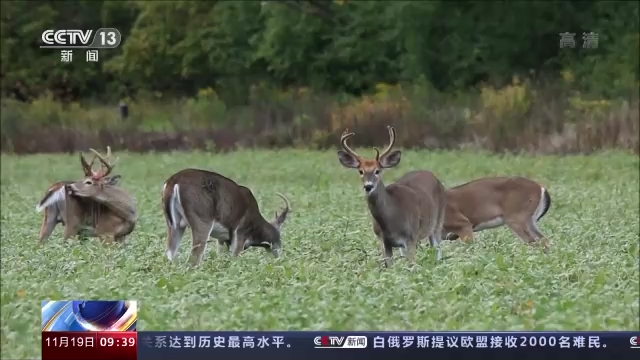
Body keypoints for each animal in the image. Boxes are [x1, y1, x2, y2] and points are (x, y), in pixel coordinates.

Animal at [161, 167, 292, 266]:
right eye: (278, 236)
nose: (279, 256)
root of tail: (174, 181)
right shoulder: (240, 231)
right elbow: (235, 257)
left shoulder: (222, 238)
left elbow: (222, 257)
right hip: (202, 218)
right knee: (194, 258)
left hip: (173, 223)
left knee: (169, 253)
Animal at [338, 126, 448, 268]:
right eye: (361, 171)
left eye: (377, 171)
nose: (368, 186)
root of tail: (434, 176)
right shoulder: (383, 241)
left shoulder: (411, 237)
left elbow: (411, 265)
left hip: (438, 221)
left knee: (438, 249)